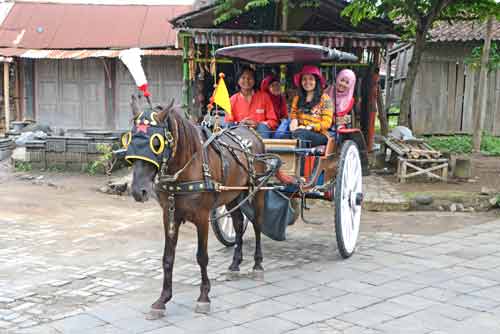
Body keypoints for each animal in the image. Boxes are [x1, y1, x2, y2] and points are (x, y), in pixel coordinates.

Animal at [127, 96, 272, 318]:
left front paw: (204, 297)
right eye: (130, 139)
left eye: (156, 142)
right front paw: (162, 299)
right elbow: (167, 258)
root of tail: (250, 132)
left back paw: (257, 265)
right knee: (238, 224)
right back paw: (235, 264)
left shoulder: (202, 217)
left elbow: (202, 257)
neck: (186, 167)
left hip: (257, 190)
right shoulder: (169, 215)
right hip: (232, 194)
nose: (138, 191)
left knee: (256, 224)